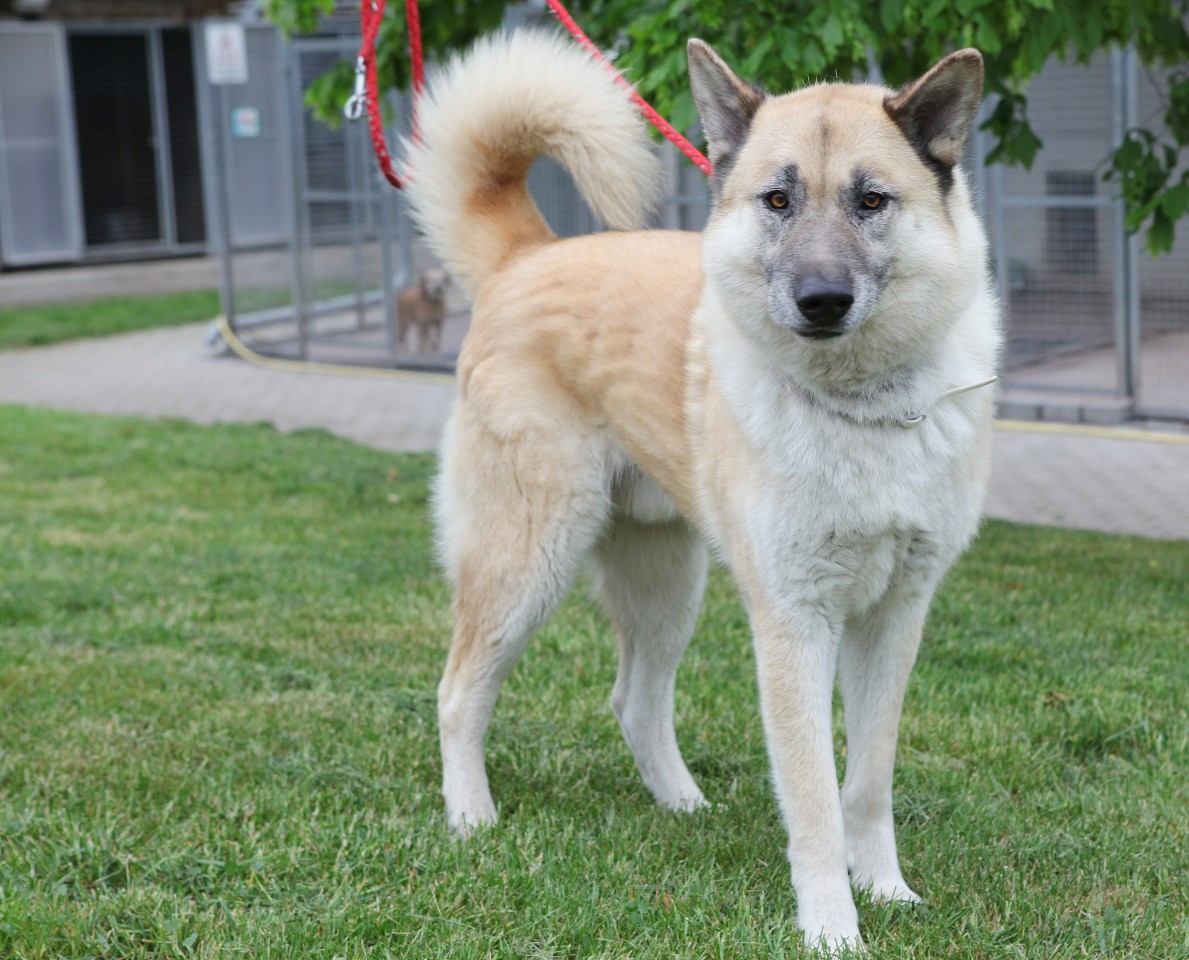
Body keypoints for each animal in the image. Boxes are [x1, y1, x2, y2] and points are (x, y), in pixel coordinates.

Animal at [404, 30, 998, 951]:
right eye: (777, 200)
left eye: (870, 200)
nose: (820, 301)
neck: (858, 406)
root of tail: (528, 255)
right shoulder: (793, 623)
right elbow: (814, 798)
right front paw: (832, 928)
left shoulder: (895, 615)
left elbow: (866, 780)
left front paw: (886, 890)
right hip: (527, 562)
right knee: (459, 692)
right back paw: (471, 818)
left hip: (667, 586)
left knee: (634, 701)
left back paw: (682, 805)